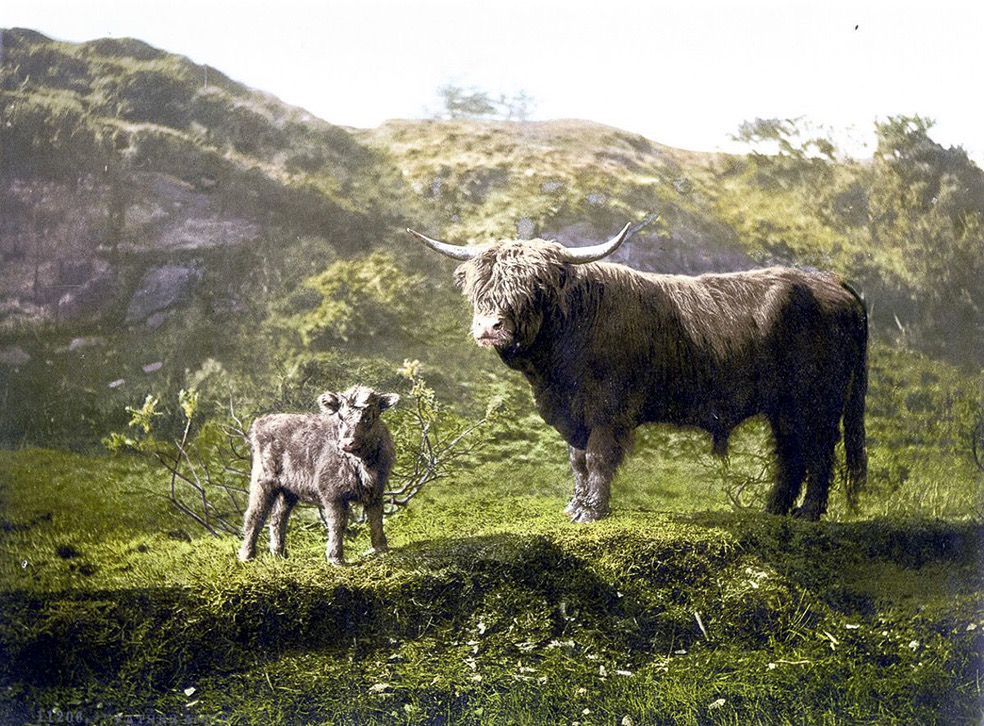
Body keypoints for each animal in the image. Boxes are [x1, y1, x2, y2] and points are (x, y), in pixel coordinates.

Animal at [237, 385, 400, 565]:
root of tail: (262, 421)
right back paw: (247, 556)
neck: (362, 463)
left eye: (368, 417)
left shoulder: (376, 491)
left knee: (278, 518)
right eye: (340, 417)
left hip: (288, 490)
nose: (347, 443)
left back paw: (279, 554)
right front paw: (336, 558)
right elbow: (337, 523)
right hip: (263, 481)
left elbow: (376, 519)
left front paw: (382, 550)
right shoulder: (332, 493)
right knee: (255, 516)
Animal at [408, 222, 867, 522]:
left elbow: (597, 456)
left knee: (819, 450)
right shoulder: (572, 413)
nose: (490, 327)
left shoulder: (608, 410)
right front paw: (575, 505)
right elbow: (577, 459)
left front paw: (591, 511)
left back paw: (808, 514)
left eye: (535, 287)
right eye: (480, 286)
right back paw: (775, 511)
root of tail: (832, 283)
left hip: (818, 401)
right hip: (784, 406)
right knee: (790, 451)